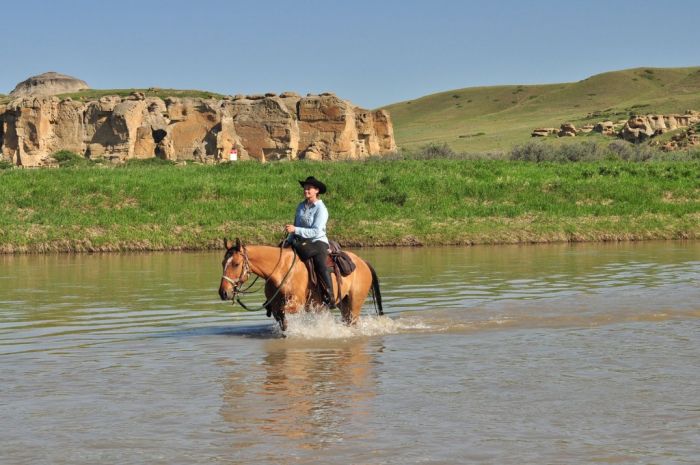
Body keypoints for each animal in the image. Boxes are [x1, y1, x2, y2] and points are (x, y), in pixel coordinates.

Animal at [217, 239, 382, 330]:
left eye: (236, 264)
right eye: (223, 263)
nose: (223, 292)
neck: (281, 269)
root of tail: (363, 262)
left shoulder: (297, 304)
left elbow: (282, 312)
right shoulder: (276, 304)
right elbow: (279, 315)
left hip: (355, 303)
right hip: (343, 303)